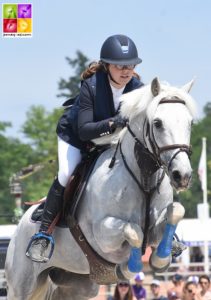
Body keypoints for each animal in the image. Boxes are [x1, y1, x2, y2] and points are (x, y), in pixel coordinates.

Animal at [4, 78, 196, 300]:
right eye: (157, 123)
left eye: (190, 123)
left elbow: (176, 211)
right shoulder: (103, 234)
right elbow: (134, 231)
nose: (182, 176)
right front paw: (128, 268)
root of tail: (18, 227)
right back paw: (39, 246)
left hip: (76, 286)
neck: (143, 177)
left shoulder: (156, 229)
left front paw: (160, 259)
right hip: (21, 285)